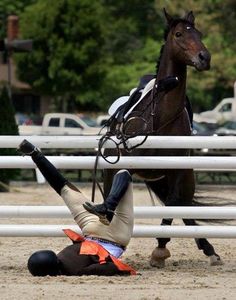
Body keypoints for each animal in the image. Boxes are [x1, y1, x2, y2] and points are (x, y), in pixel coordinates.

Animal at [102, 8, 223, 268]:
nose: (204, 58)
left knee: (184, 206)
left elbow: (173, 203)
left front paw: (160, 249)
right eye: (179, 34)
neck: (161, 117)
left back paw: (209, 249)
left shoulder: (176, 170)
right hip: (113, 171)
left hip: (180, 178)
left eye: (199, 33)